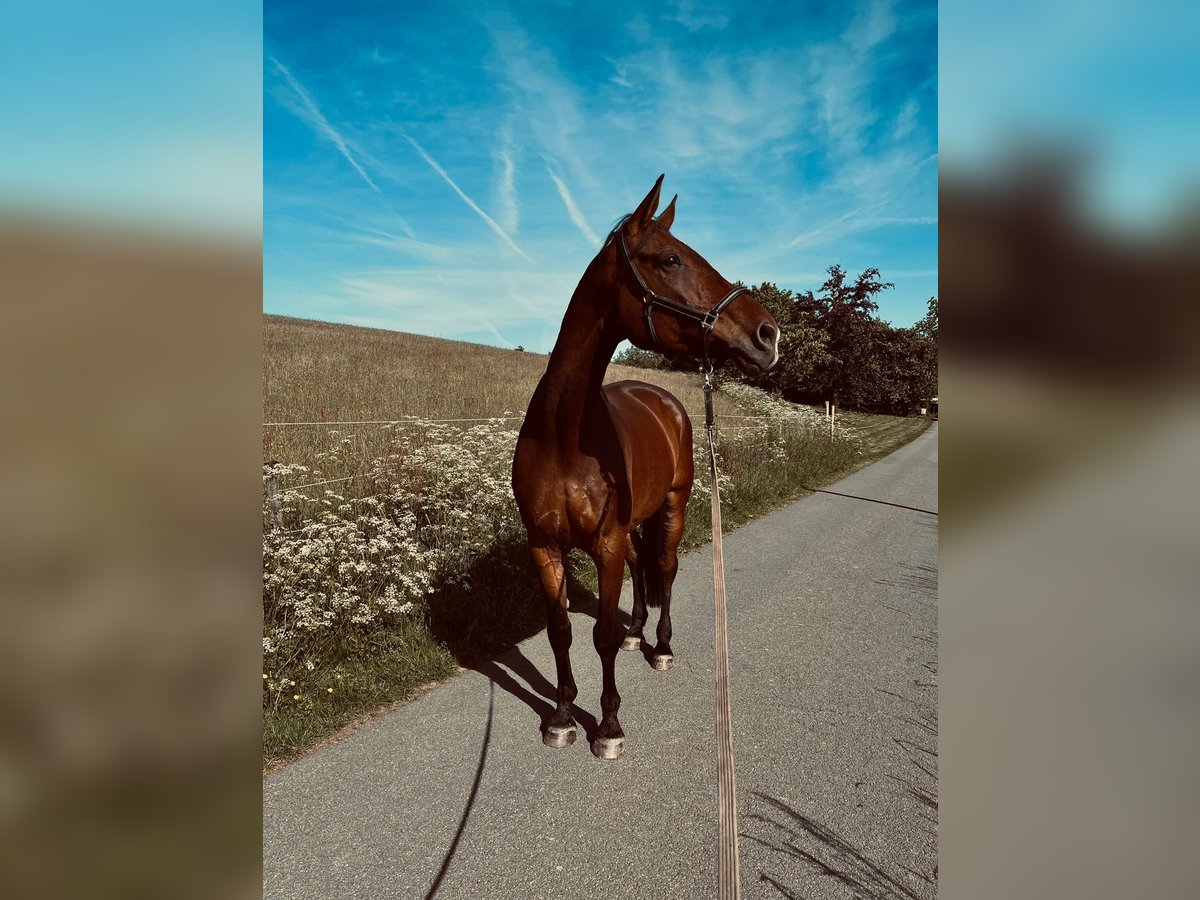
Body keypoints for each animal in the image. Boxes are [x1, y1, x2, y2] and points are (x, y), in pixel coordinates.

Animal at [511, 176, 782, 763]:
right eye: (671, 258)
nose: (769, 334)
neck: (564, 440)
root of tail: (664, 398)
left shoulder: (606, 542)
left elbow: (601, 637)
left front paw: (608, 725)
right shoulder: (544, 545)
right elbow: (561, 630)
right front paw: (562, 716)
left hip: (674, 506)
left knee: (665, 566)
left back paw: (659, 645)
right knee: (642, 567)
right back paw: (638, 629)